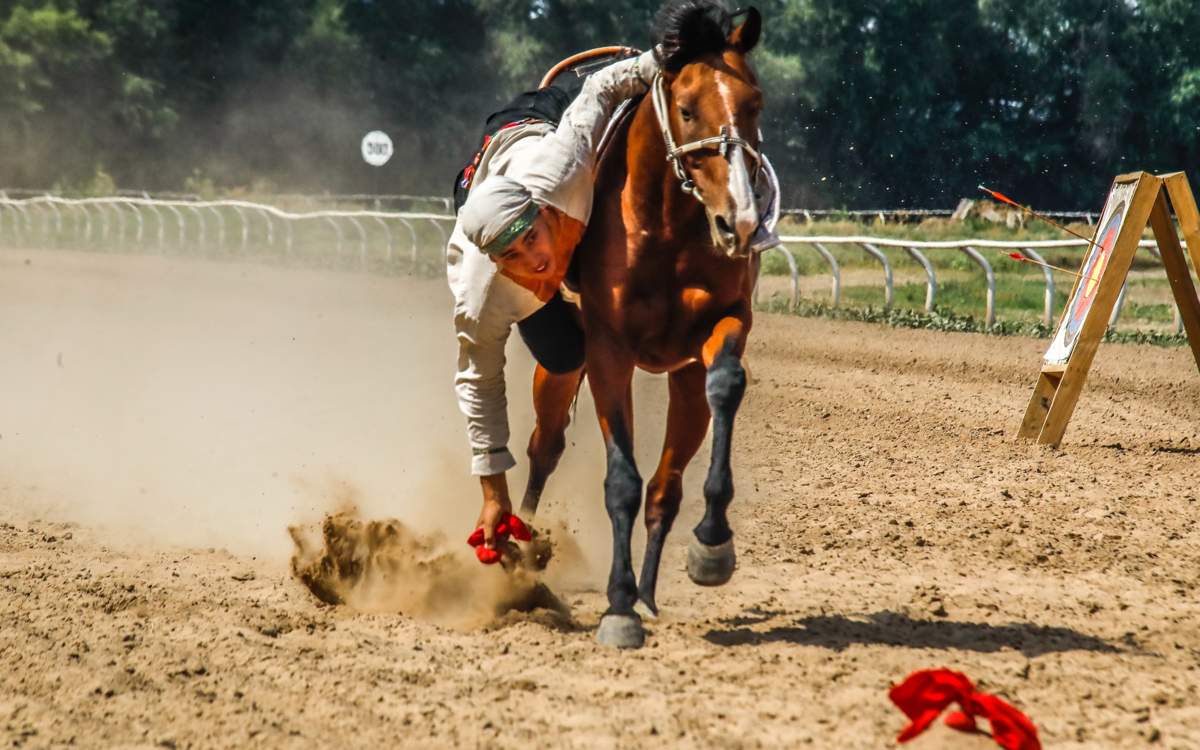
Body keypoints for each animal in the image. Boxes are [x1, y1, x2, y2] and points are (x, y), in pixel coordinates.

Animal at [520, 0, 763, 648]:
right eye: (687, 108)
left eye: (755, 103)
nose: (741, 221)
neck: (666, 226)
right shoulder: (608, 350)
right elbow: (621, 481)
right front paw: (617, 608)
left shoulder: (723, 323)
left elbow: (725, 385)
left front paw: (711, 546)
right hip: (562, 361)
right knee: (544, 447)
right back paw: (518, 546)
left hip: (680, 376)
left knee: (666, 486)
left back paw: (651, 590)